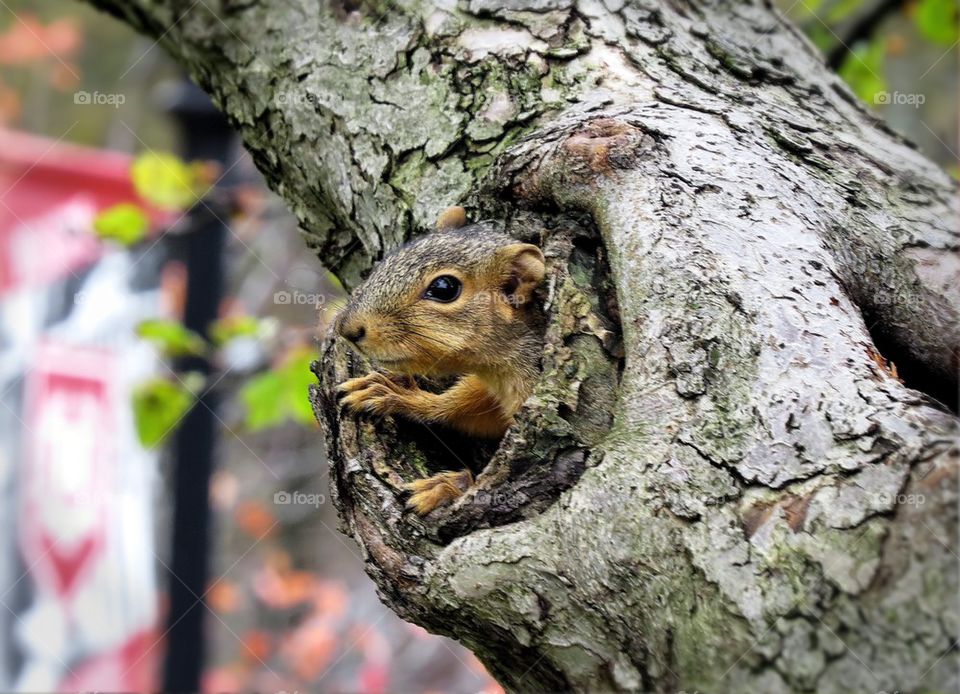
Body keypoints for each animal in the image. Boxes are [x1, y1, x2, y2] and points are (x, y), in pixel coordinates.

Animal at [334, 207, 544, 516]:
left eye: (444, 288)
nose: (347, 328)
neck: (498, 372)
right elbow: (457, 410)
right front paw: (397, 394)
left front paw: (448, 488)